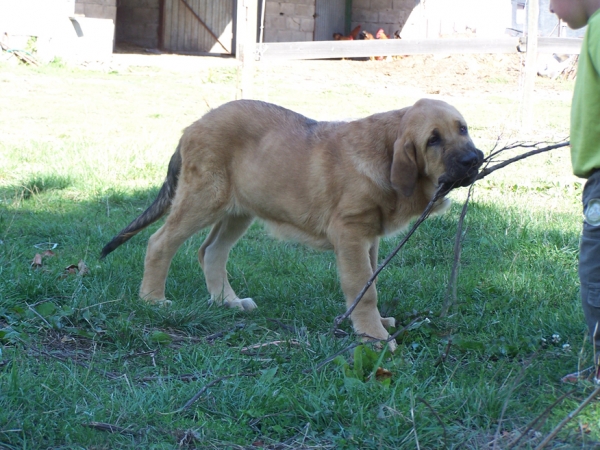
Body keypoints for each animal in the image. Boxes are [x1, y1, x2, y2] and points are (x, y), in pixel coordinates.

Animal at [99, 99, 482, 352]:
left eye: (463, 129)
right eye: (433, 140)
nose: (474, 159)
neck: (386, 152)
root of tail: (190, 128)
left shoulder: (369, 237)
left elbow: (370, 280)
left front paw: (376, 324)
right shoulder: (351, 233)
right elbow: (364, 288)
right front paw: (374, 336)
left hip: (239, 210)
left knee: (210, 252)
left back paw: (228, 302)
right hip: (203, 199)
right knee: (160, 242)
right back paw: (153, 298)